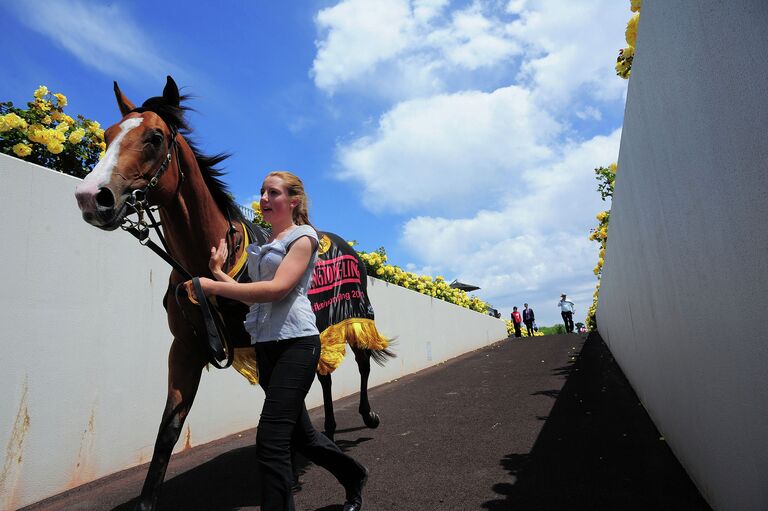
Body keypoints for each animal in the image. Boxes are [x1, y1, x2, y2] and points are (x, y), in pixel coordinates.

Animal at [74, 77, 390, 511]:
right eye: (107, 135)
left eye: (154, 137)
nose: (93, 196)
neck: (203, 265)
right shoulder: (186, 348)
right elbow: (168, 430)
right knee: (324, 376)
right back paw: (328, 426)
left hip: (354, 313)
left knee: (361, 363)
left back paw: (367, 417)